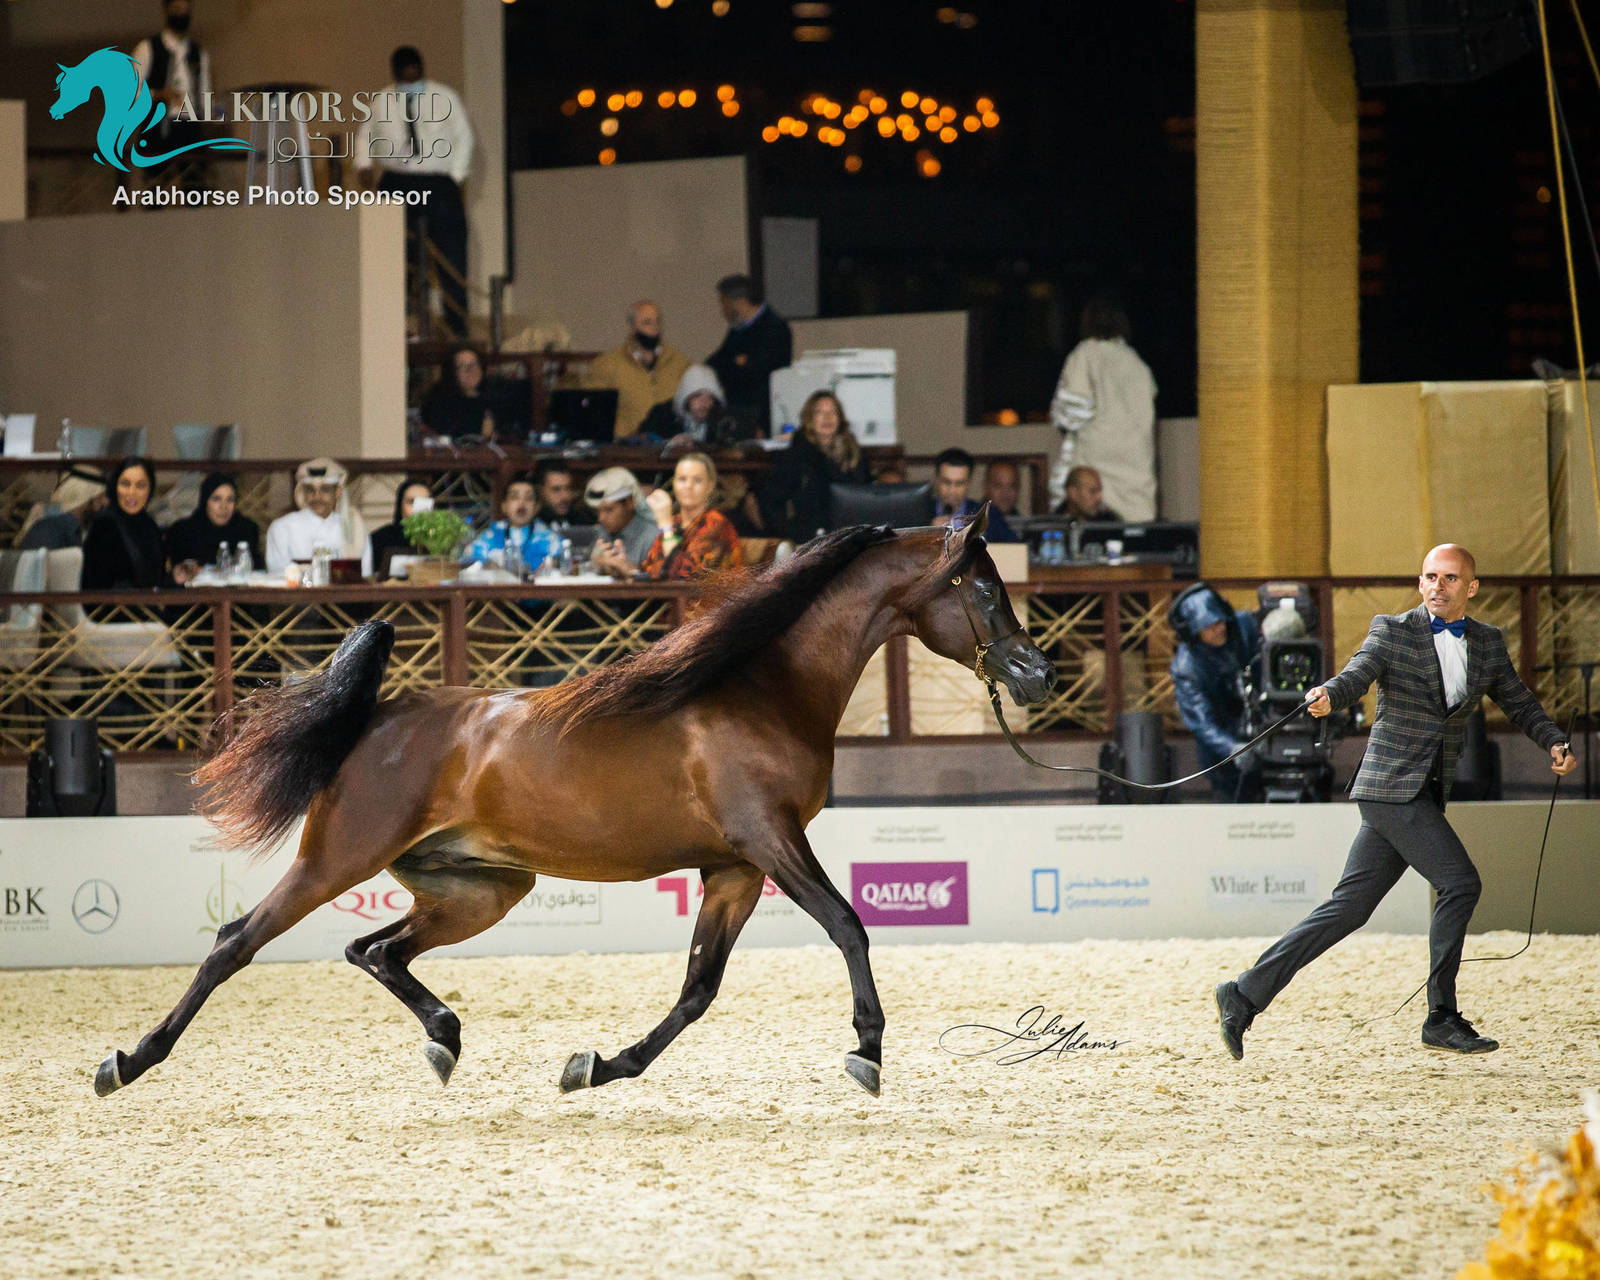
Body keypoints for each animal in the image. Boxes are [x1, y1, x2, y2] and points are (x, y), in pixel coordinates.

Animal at [93, 509, 1056, 1099]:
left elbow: (698, 988)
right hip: (339, 858)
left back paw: (444, 1038)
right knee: (236, 942)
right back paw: (128, 1062)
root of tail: (378, 718)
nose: (1036, 674)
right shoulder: (771, 842)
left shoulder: (734, 869)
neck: (762, 688)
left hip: (478, 889)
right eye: (982, 588)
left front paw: (595, 1065)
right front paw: (867, 1051)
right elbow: (851, 927)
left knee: (374, 948)